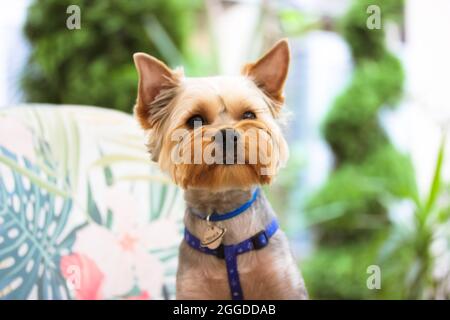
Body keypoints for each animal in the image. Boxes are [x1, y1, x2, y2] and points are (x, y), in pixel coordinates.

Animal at [133, 40, 310, 300]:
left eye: (249, 114)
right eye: (194, 120)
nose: (227, 134)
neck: (224, 213)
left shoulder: (285, 284)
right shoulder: (192, 289)